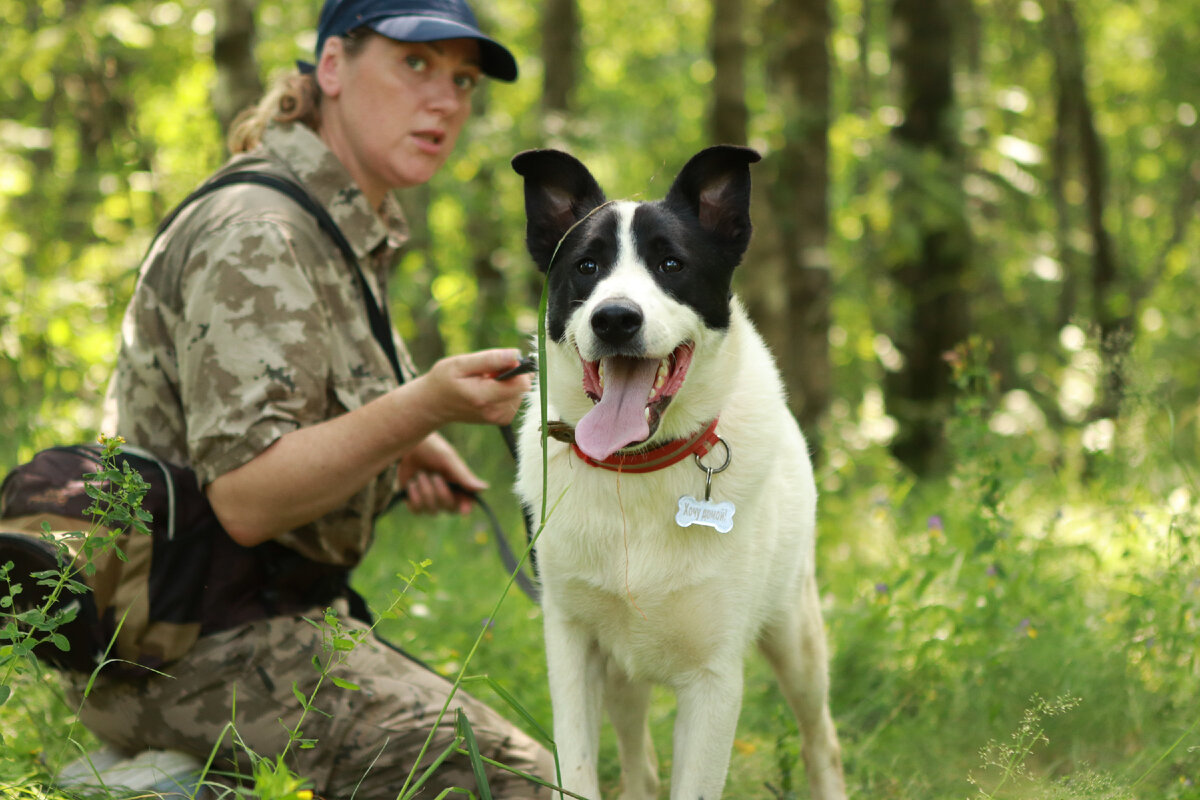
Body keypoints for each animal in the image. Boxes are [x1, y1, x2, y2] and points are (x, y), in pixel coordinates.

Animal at [511, 145, 849, 800]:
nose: (615, 319)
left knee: (821, 737)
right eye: (587, 266)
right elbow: (579, 770)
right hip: (622, 669)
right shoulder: (572, 646)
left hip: (795, 629)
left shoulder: (713, 680)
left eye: (672, 264)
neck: (637, 467)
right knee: (639, 764)